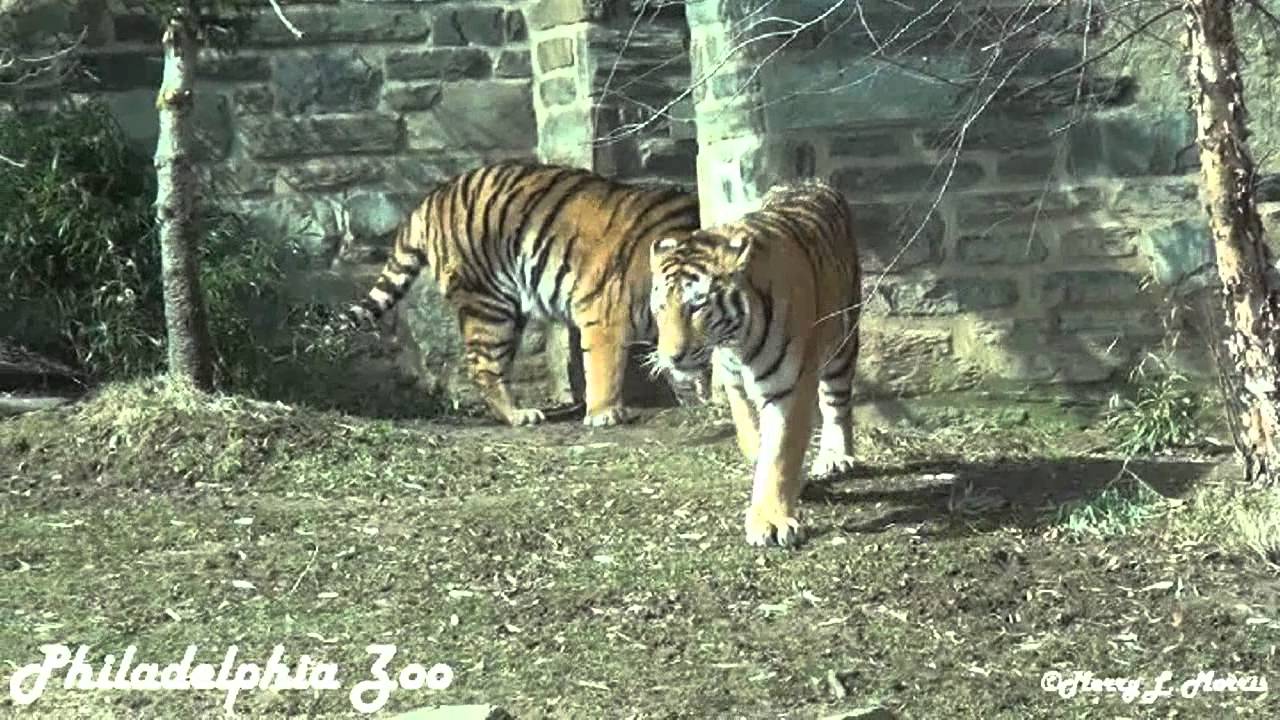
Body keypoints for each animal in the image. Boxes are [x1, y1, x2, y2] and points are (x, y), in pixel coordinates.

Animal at [341, 160, 702, 428]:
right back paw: (517, 415)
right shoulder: (603, 315)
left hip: (509, 311)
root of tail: (434, 196)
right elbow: (605, 366)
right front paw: (604, 413)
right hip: (489, 304)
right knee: (482, 365)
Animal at [648, 178, 862, 548]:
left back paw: (836, 457)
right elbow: (752, 436)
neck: (737, 340)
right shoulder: (735, 384)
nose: (671, 357)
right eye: (660, 307)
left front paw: (772, 521)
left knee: (837, 403)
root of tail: (812, 182)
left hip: (842, 341)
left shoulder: (790, 387)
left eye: (696, 306)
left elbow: (780, 452)